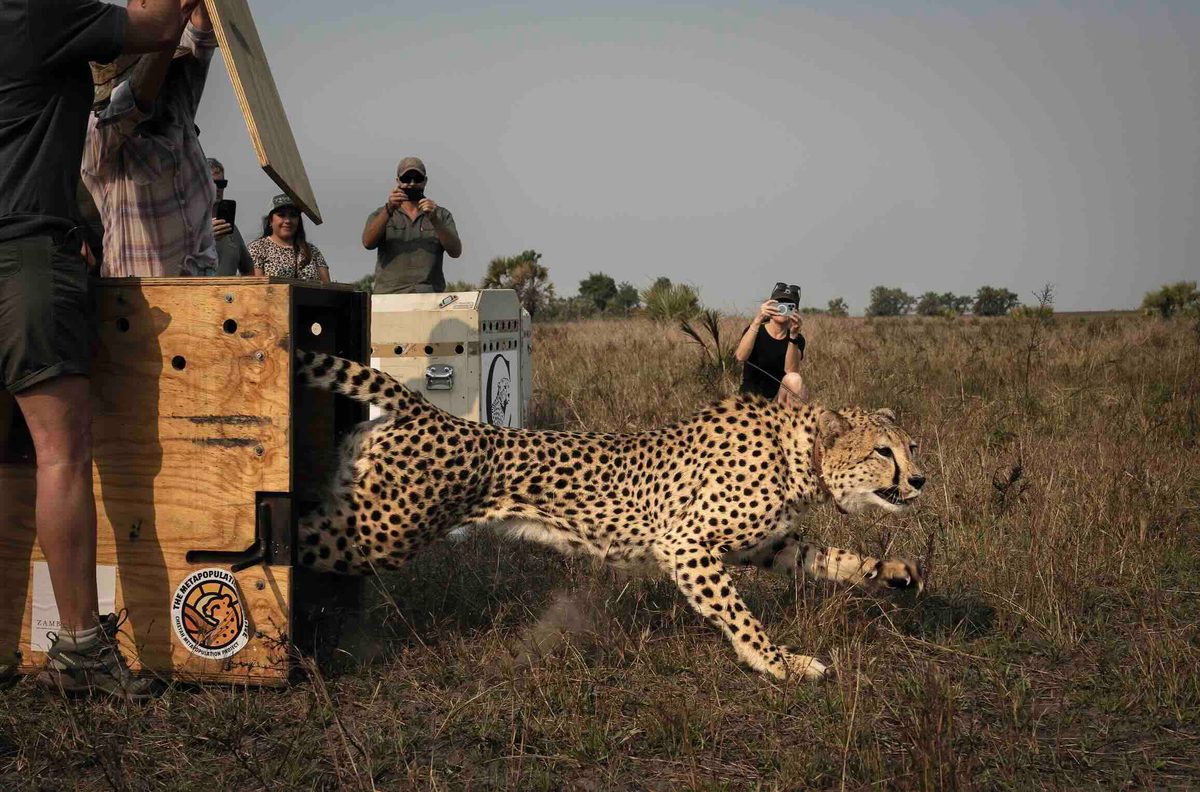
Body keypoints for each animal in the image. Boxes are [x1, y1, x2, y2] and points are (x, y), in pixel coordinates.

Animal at [294, 351, 926, 681]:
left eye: (912, 447)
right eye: (882, 452)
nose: (919, 480)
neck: (797, 453)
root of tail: (430, 411)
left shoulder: (767, 544)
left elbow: (835, 558)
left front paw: (896, 572)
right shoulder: (686, 544)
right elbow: (739, 615)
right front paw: (778, 662)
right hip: (383, 532)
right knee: (298, 537)